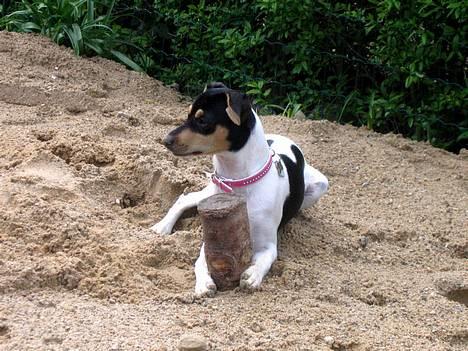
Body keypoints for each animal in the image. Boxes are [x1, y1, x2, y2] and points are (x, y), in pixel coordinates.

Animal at [152, 83, 328, 296]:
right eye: (188, 115)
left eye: (202, 120)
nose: (165, 140)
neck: (239, 183)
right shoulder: (209, 240)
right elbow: (199, 262)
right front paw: (203, 283)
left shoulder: (268, 245)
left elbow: (265, 260)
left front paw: (253, 275)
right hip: (210, 191)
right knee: (185, 198)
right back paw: (162, 226)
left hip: (320, 185)